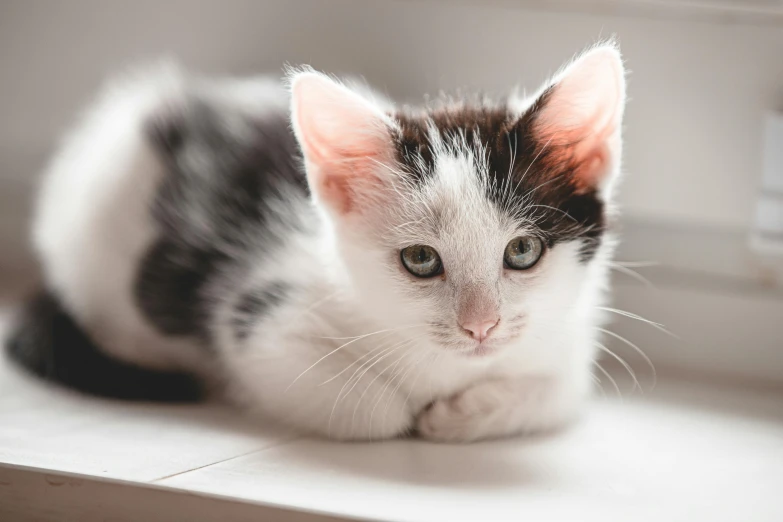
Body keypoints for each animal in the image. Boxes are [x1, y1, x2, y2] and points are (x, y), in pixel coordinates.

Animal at [6, 42, 628, 440]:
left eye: (522, 251)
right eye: (420, 260)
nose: (482, 327)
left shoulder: (569, 336)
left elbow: (562, 390)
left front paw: (461, 413)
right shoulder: (257, 320)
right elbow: (377, 412)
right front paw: (417, 413)